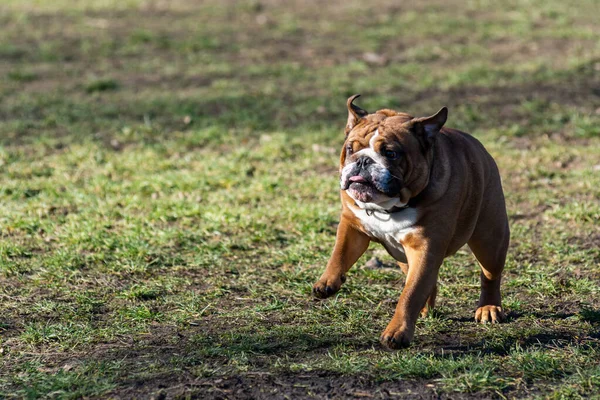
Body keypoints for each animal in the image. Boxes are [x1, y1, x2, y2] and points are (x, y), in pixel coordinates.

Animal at [312, 95, 508, 348]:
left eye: (391, 153)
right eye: (350, 148)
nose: (363, 160)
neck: (389, 207)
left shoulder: (424, 247)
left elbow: (409, 294)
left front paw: (397, 332)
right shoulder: (352, 225)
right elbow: (339, 253)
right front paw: (327, 282)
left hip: (489, 239)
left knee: (490, 275)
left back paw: (488, 308)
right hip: (404, 256)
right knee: (425, 280)